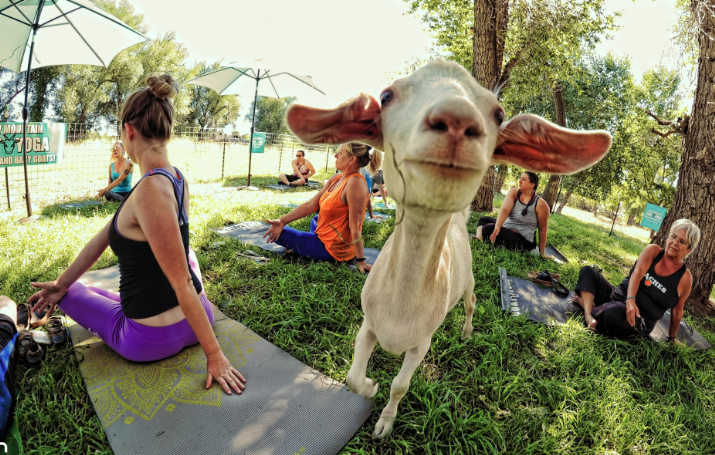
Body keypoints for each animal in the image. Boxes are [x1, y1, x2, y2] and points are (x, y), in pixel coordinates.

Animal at [286, 58, 608, 440]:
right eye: (386, 96)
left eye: (498, 113)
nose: (456, 120)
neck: (400, 309)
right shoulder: (367, 326)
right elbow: (351, 378)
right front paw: (369, 386)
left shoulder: (421, 343)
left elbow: (400, 386)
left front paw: (384, 421)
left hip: (468, 280)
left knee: (470, 302)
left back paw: (467, 332)